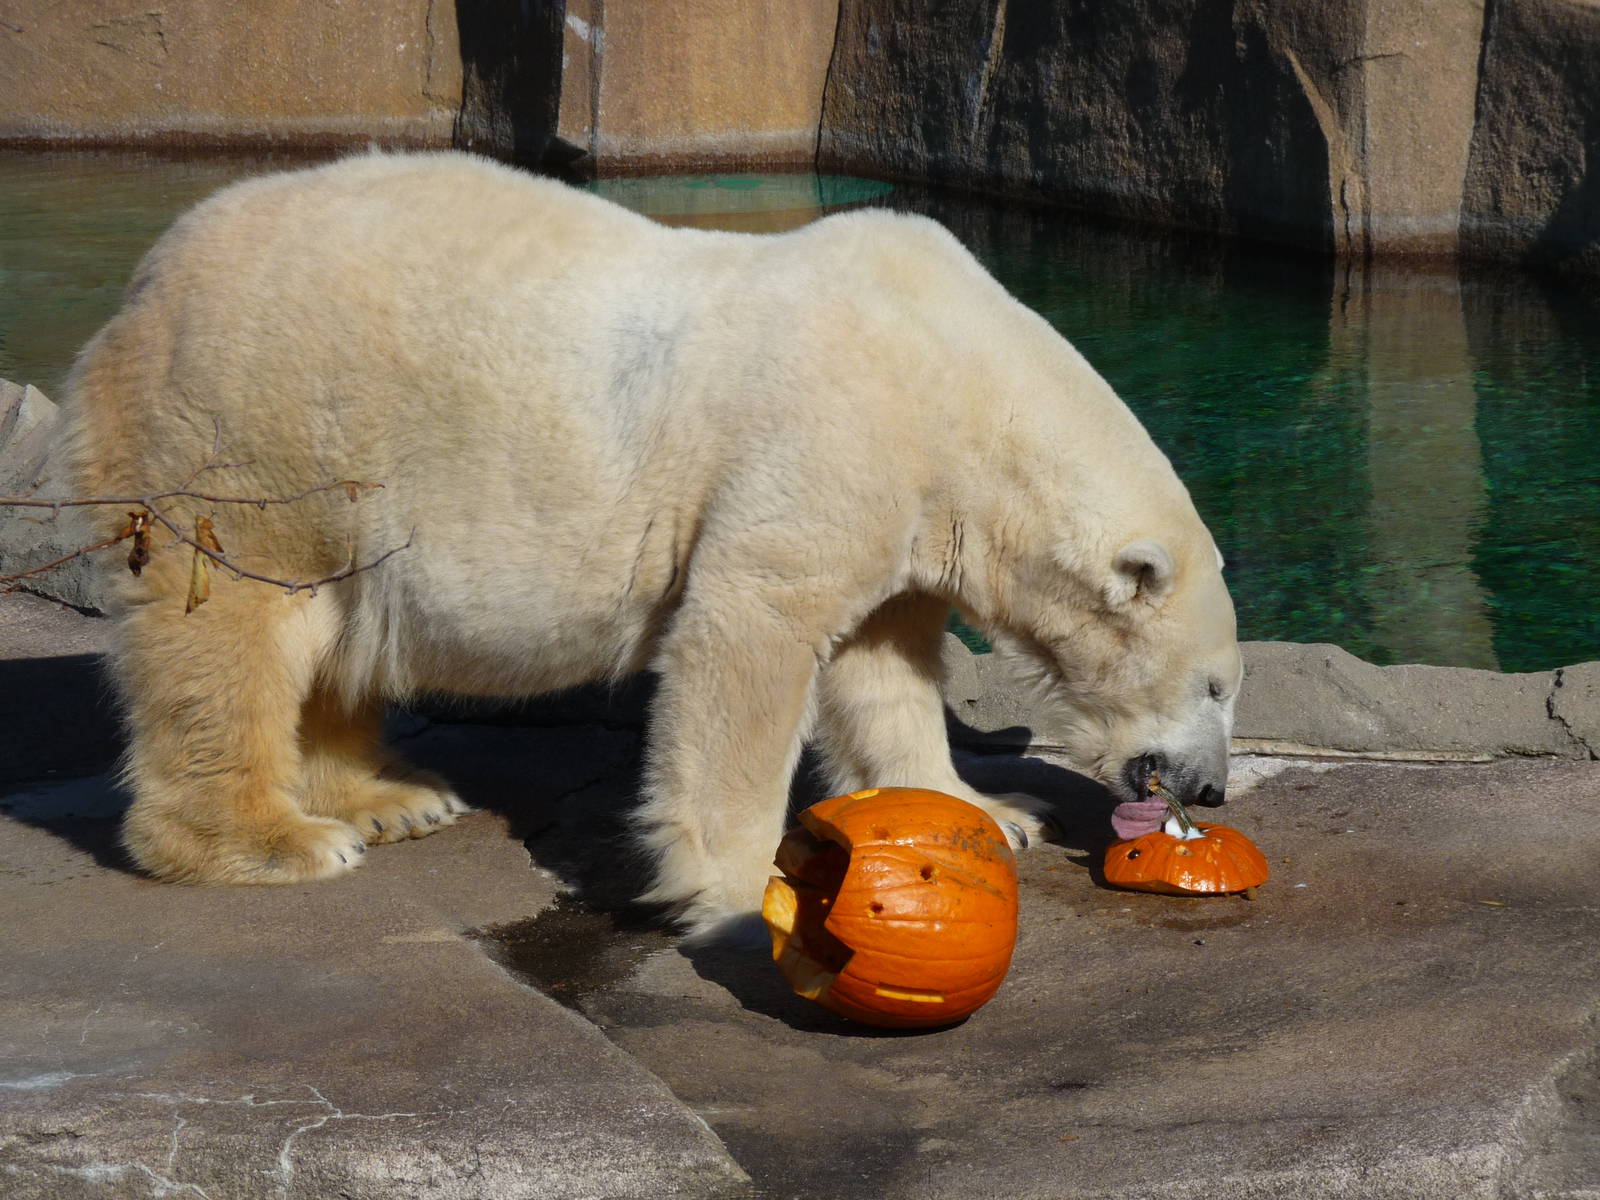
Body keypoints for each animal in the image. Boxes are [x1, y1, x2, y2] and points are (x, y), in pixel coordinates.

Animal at [62, 151, 1242, 935]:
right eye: (1220, 686)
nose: (1213, 787)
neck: (957, 376)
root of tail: (143, 283)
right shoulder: (824, 440)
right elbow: (749, 640)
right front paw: (741, 886)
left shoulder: (904, 501)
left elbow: (883, 669)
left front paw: (991, 813)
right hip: (252, 429)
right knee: (231, 623)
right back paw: (277, 840)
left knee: (338, 631)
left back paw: (392, 798)